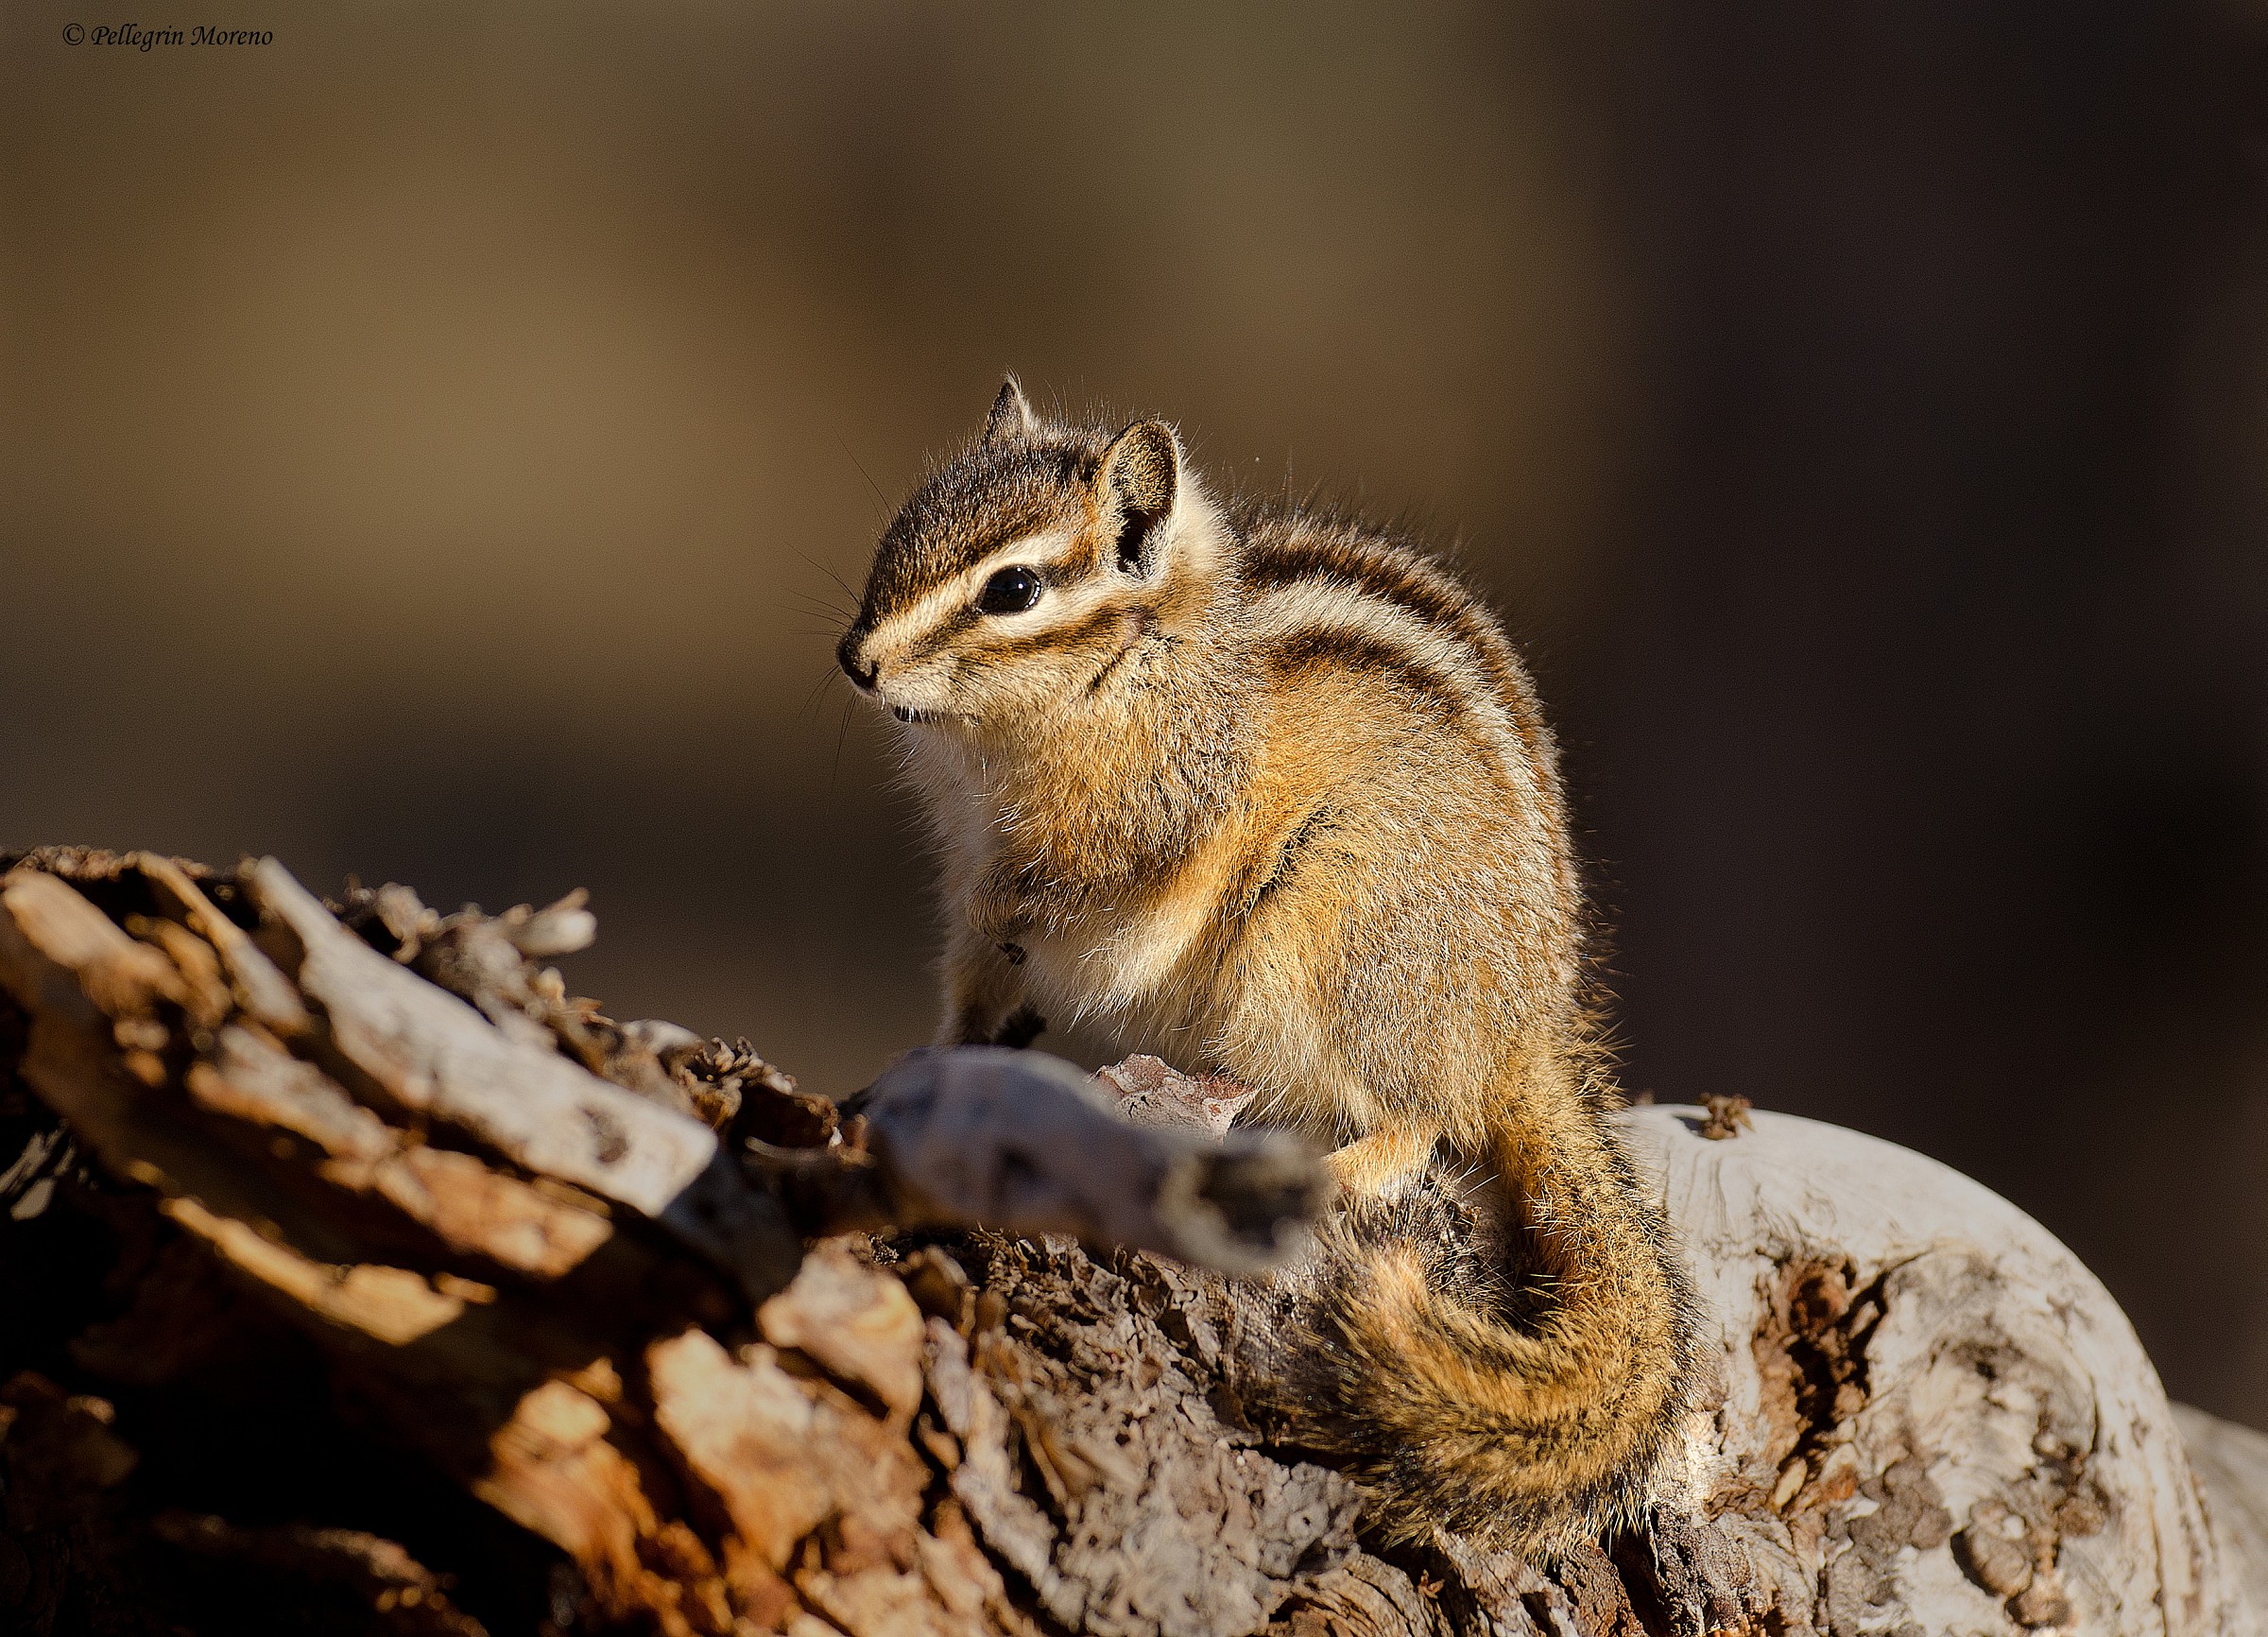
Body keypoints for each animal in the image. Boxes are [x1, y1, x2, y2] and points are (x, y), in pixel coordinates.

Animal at [837, 378, 1701, 1558]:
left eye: (1013, 588)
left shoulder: (1146, 827)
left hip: (1327, 930)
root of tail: (1522, 1026)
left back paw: (1325, 1166)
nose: (857, 659)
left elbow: (1100, 896)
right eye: (900, 529)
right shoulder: (966, 864)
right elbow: (971, 982)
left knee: (1420, 1122)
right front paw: (927, 1061)